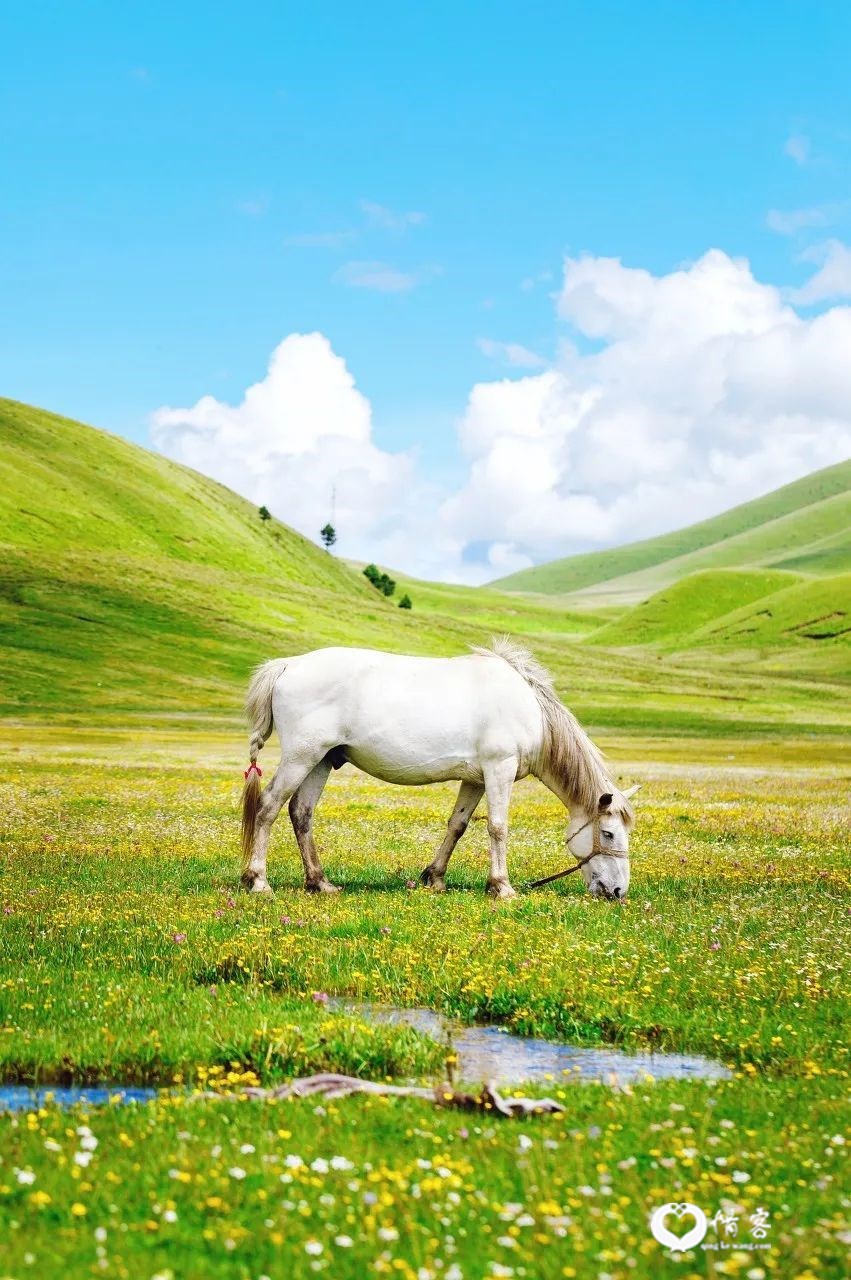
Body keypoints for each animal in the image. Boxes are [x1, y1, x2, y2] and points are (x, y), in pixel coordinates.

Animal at [236, 640, 629, 901]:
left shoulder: (475, 779)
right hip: (301, 757)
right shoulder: (499, 769)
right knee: (268, 806)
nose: (618, 891)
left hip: (321, 761)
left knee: (301, 812)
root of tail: (288, 665)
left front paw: (435, 878)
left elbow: (457, 825)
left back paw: (319, 882)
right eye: (608, 834)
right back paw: (258, 881)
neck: (530, 709)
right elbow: (498, 827)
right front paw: (501, 887)